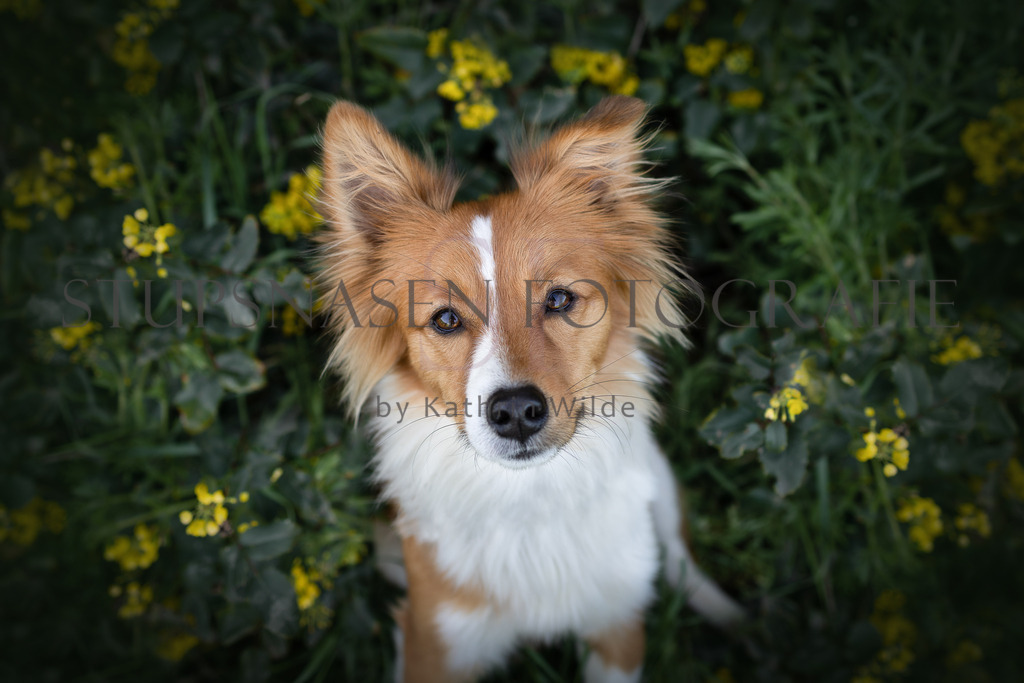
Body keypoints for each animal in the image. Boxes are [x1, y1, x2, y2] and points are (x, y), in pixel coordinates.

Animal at [315, 96, 744, 682]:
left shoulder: (616, 628)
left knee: (679, 560)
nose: (516, 410)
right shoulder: (436, 644)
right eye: (445, 319)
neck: (530, 496)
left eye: (560, 300)